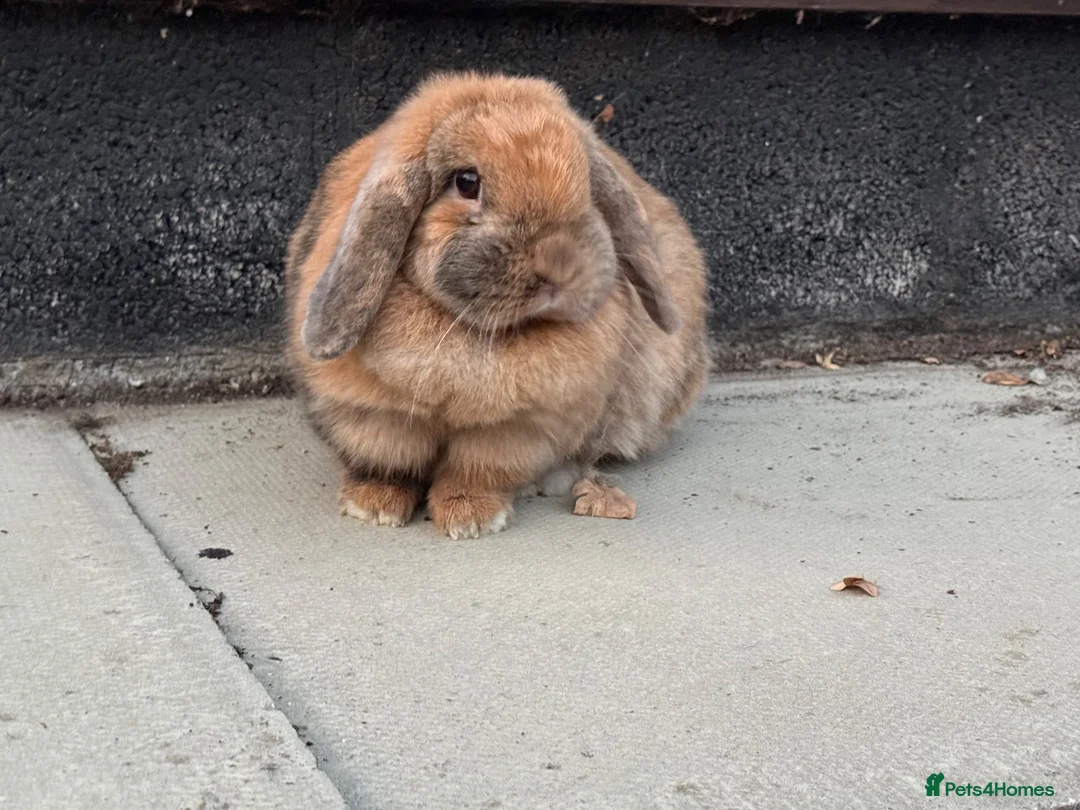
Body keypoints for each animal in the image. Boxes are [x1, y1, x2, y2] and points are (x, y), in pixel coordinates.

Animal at [284, 72, 709, 539]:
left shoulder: (517, 430)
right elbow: (387, 465)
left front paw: (471, 518)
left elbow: (476, 471)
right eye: (467, 181)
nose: (559, 265)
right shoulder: (373, 417)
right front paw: (374, 507)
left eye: (585, 183)